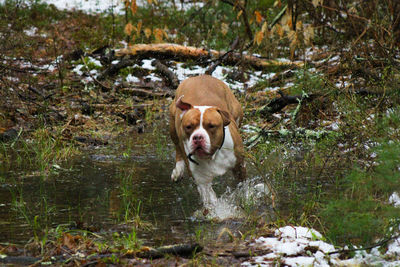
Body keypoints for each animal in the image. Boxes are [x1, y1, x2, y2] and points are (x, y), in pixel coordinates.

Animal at [168, 75, 245, 209]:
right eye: (188, 127)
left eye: (211, 126)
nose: (198, 137)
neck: (213, 155)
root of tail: (199, 76)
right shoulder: (202, 181)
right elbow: (210, 199)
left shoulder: (239, 166)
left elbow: (242, 186)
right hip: (173, 126)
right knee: (177, 146)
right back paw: (178, 170)